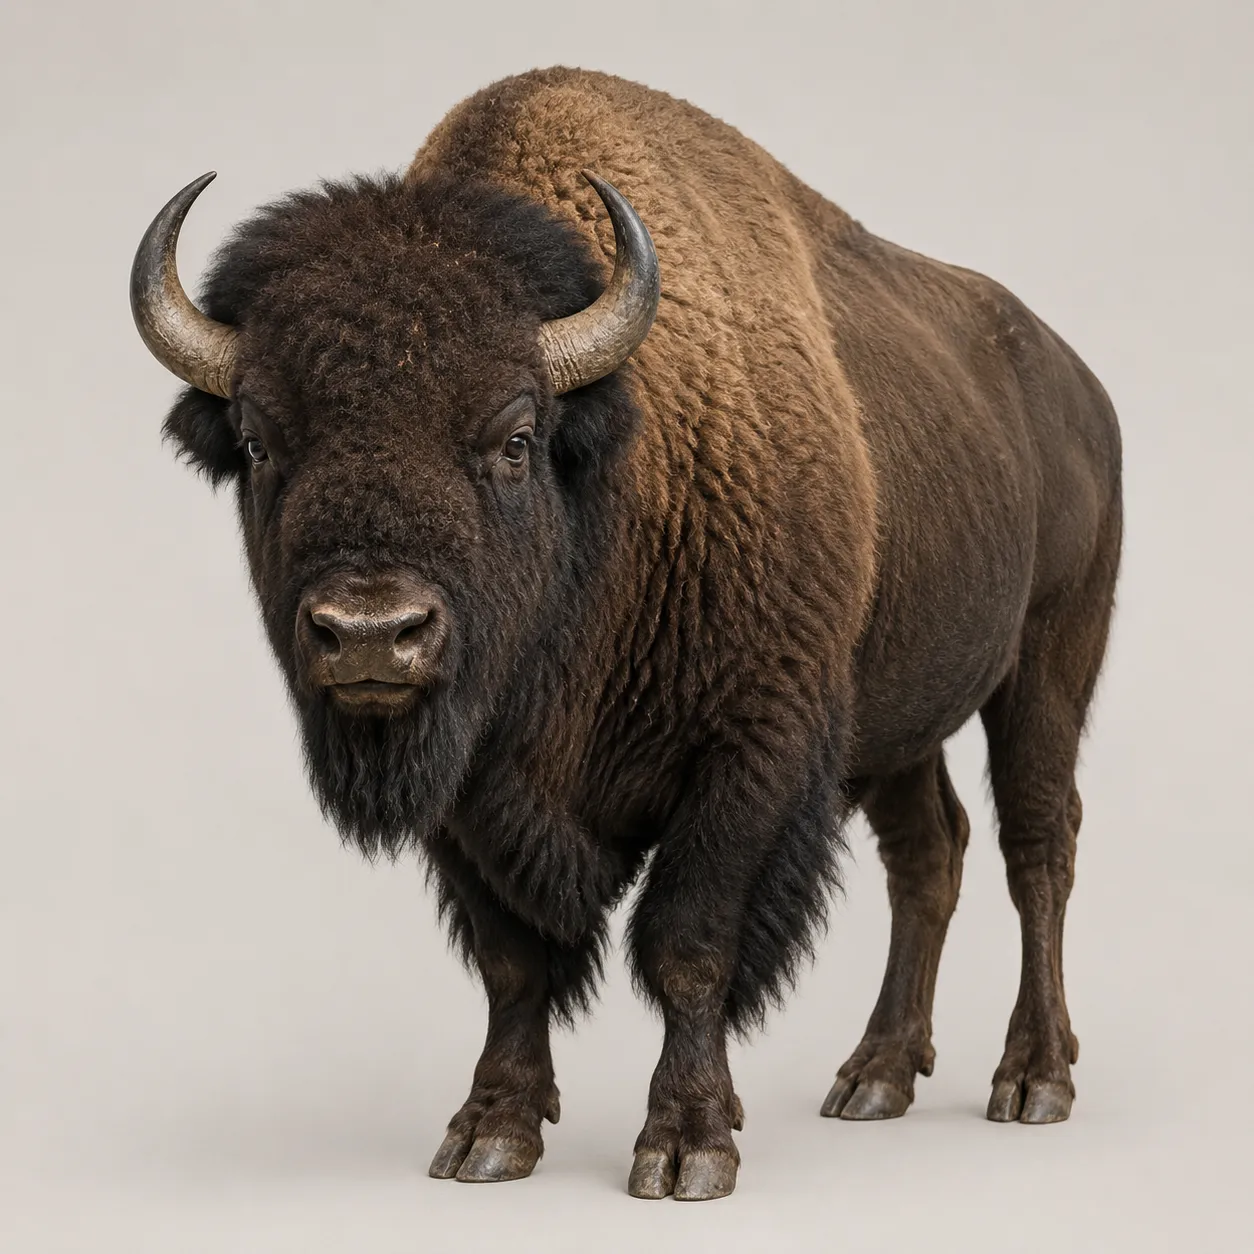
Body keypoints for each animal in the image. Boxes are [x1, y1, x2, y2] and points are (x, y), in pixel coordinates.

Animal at [131, 66, 1122, 1201]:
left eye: (515, 439)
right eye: (257, 442)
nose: (374, 633)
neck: (612, 475)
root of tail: (1079, 387)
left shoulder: (750, 755)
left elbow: (687, 943)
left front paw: (688, 1145)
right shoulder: (471, 792)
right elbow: (514, 959)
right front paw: (490, 1134)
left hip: (1048, 664)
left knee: (1037, 845)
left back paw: (1033, 1078)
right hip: (894, 721)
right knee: (930, 852)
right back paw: (874, 1075)